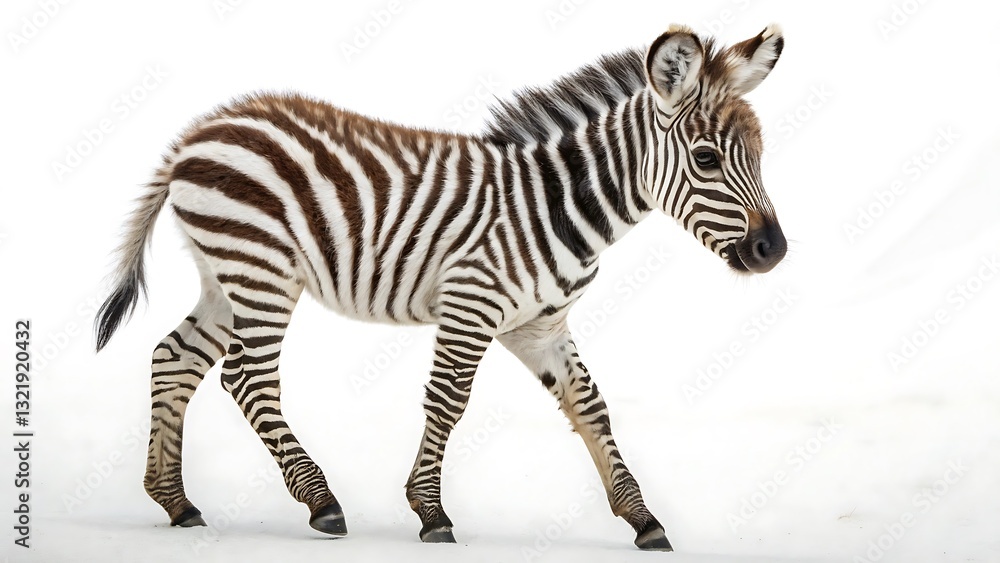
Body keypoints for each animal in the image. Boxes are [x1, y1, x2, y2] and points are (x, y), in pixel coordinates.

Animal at [94, 23, 786, 551]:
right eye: (705, 159)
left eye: (759, 154)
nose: (773, 251)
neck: (558, 204)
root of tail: (201, 130)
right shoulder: (471, 305)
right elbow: (449, 402)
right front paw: (430, 512)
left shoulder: (539, 326)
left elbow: (591, 407)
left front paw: (643, 519)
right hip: (263, 270)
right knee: (248, 377)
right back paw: (321, 502)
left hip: (227, 275)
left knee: (174, 358)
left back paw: (175, 501)